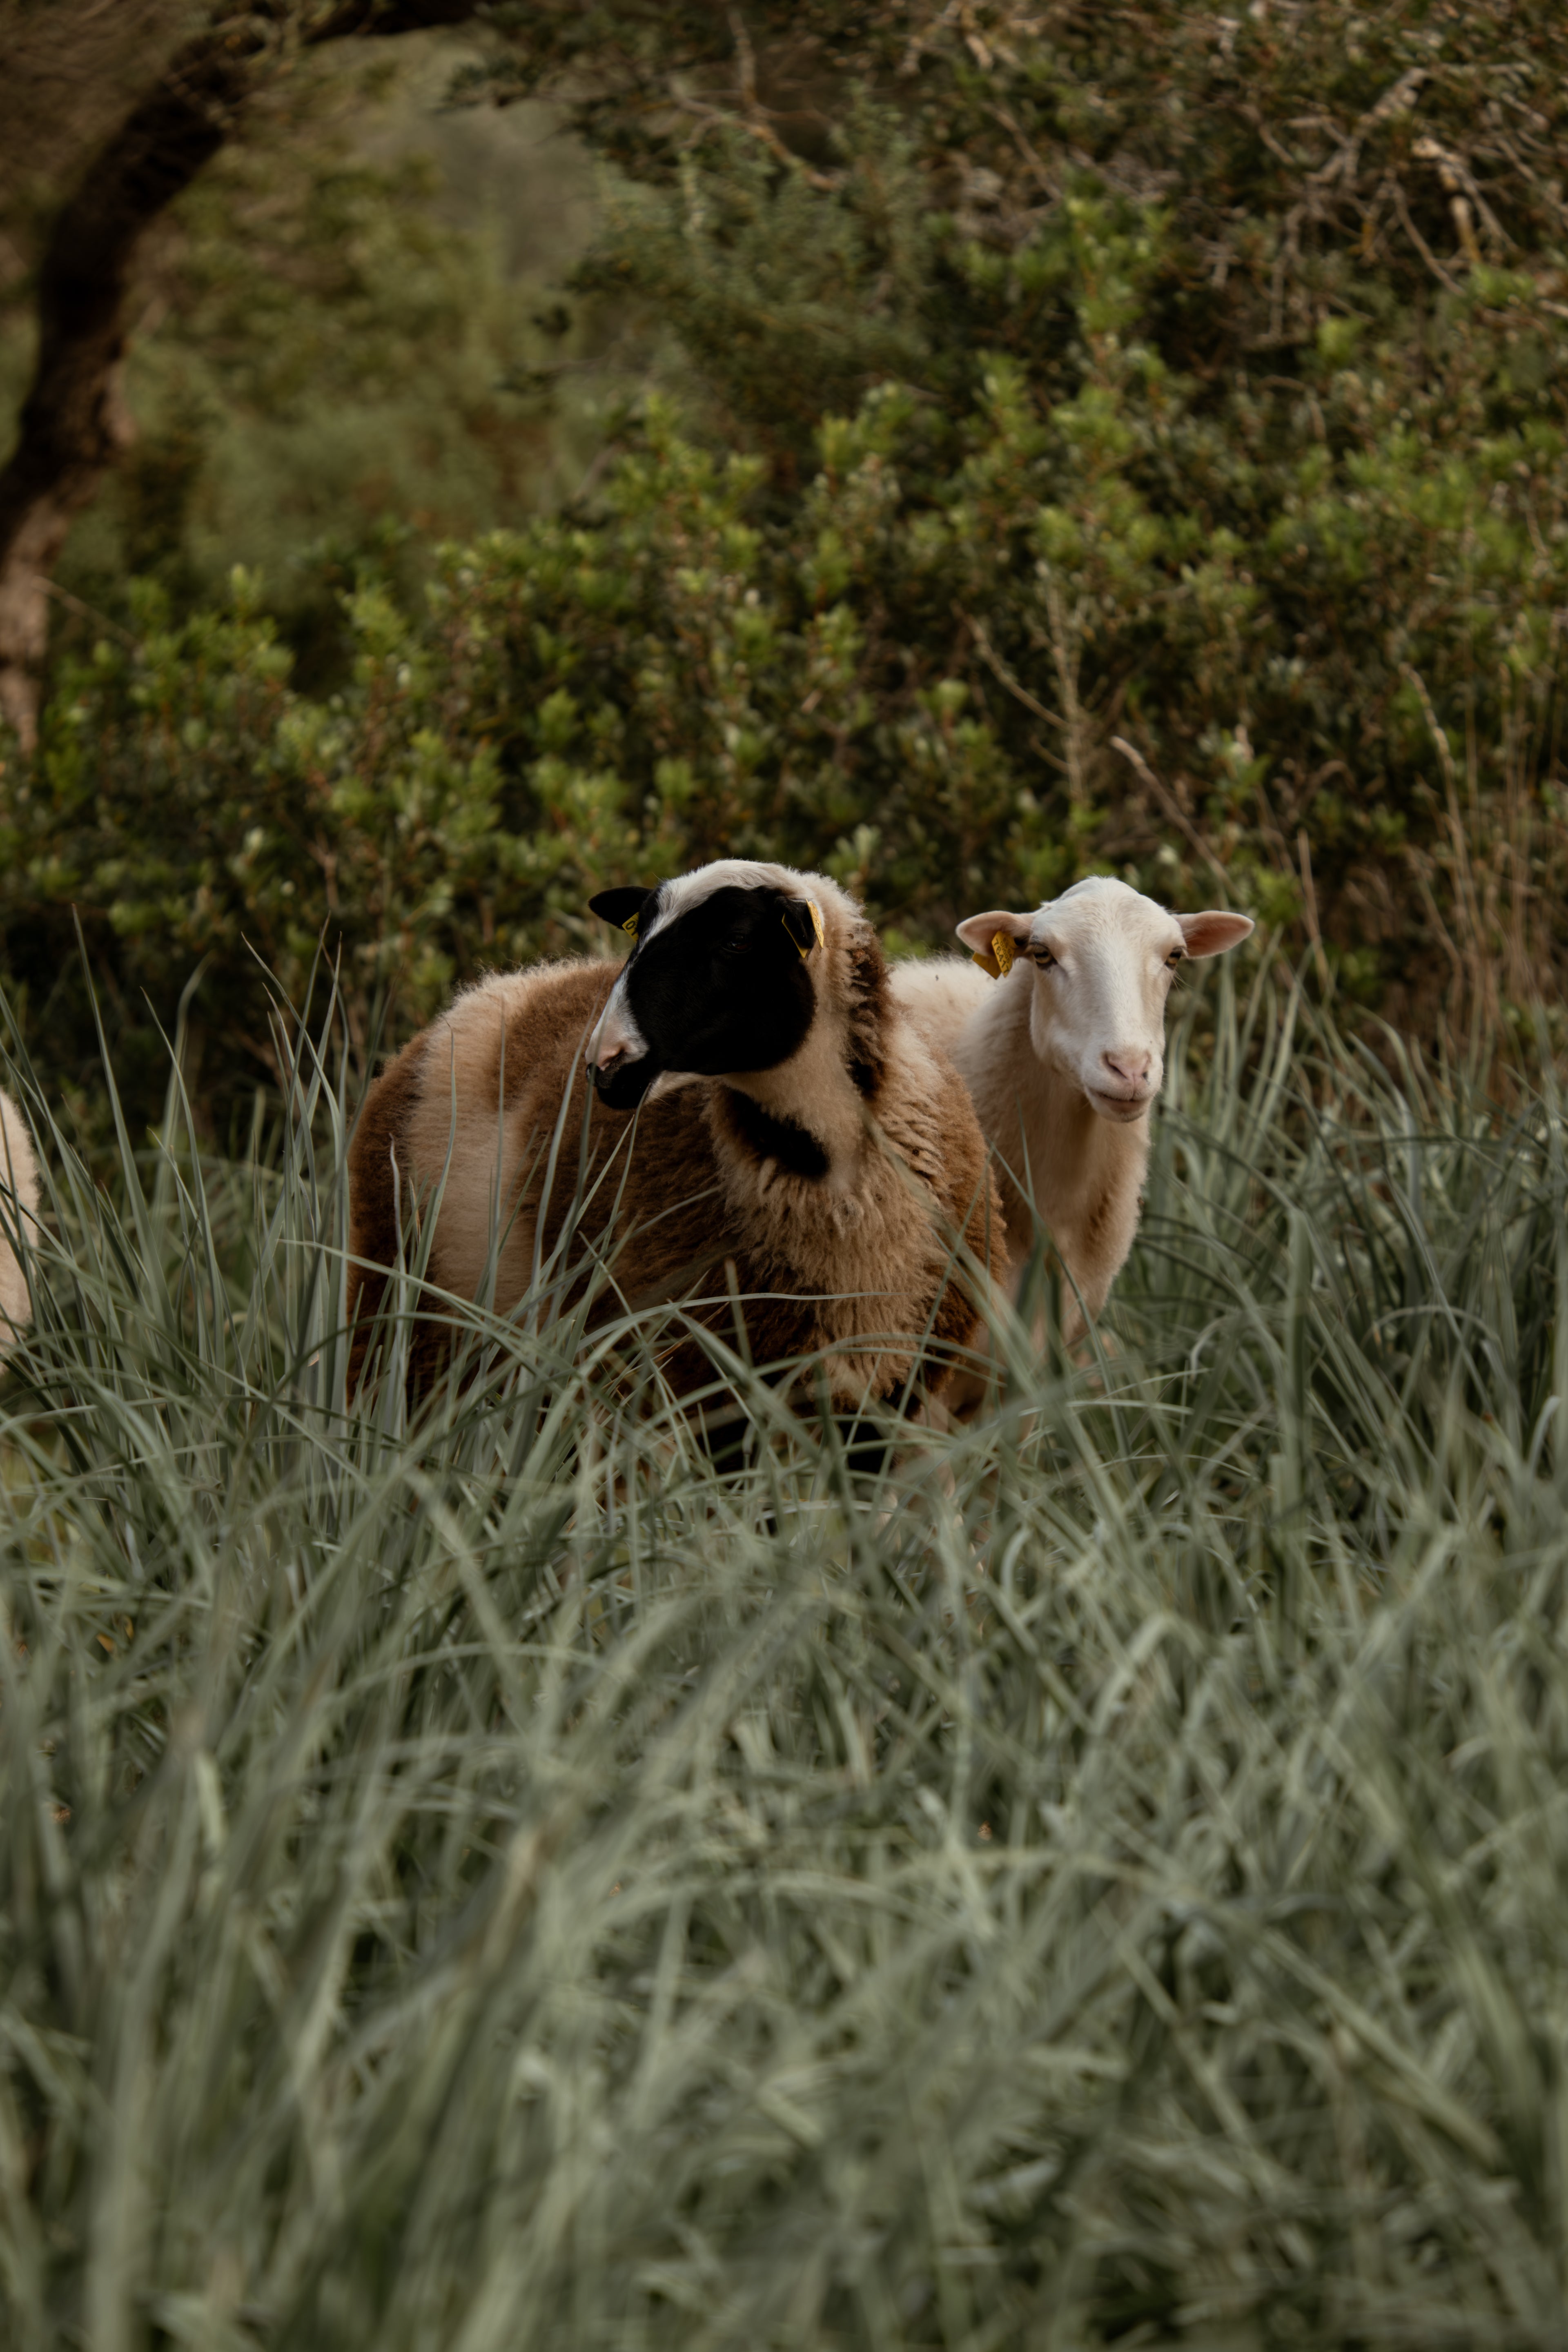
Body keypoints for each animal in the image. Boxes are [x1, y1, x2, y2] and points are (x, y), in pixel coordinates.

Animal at [347, 859, 1002, 1430]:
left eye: (737, 942)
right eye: (639, 935)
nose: (607, 1064)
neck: (833, 1177)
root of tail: (494, 990)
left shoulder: (885, 1390)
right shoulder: (703, 1379)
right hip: (401, 1314)